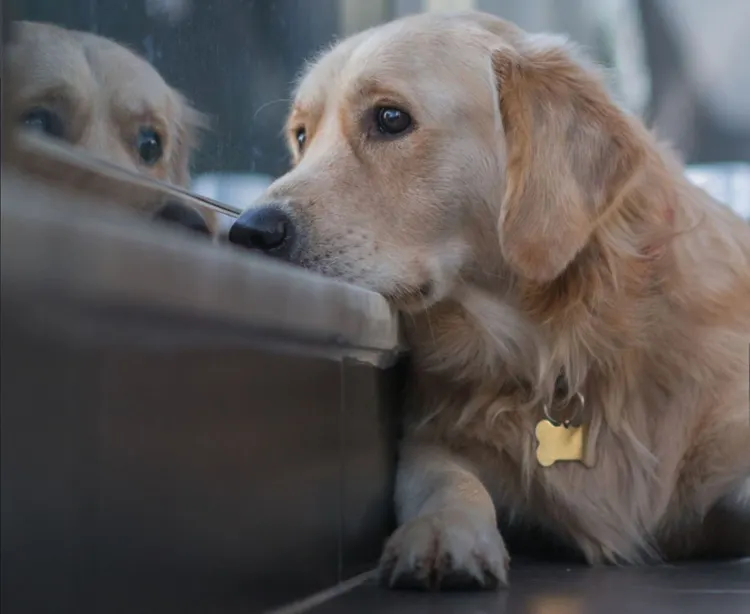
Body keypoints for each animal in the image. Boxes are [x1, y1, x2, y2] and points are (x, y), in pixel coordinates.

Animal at [229, 9, 750, 588]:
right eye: (301, 135)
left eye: (390, 118)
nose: (248, 232)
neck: (562, 346)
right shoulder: (433, 439)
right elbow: (443, 479)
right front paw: (442, 530)